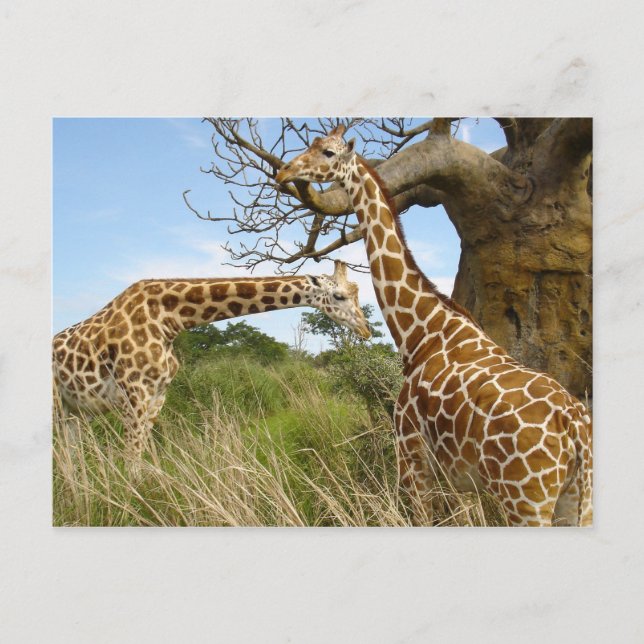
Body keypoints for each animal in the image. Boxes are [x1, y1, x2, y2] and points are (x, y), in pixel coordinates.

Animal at [53, 261, 370, 474]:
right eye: (340, 296)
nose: (366, 330)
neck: (169, 319)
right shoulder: (135, 394)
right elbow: (131, 461)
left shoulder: (157, 397)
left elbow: (143, 458)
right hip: (58, 405)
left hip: (75, 413)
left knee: (70, 460)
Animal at [276, 125, 593, 527]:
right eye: (313, 145)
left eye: (328, 153)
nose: (283, 171)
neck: (421, 330)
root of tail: (575, 429)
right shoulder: (458, 477)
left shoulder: (411, 454)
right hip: (577, 497)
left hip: (526, 500)